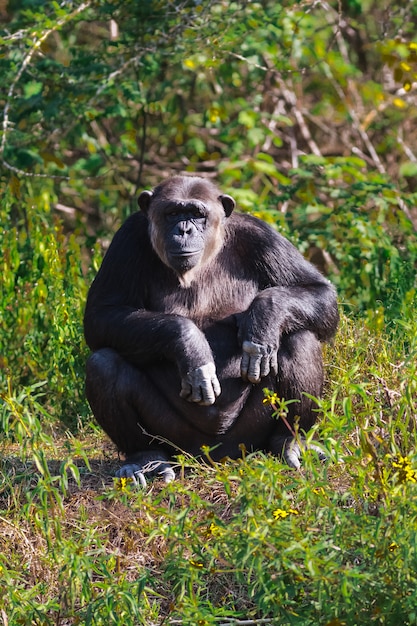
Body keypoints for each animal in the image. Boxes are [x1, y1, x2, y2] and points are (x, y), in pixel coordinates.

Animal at [84, 174, 338, 482]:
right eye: (172, 213)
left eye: (197, 213)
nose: (184, 229)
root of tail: (217, 457)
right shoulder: (126, 238)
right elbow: (101, 315)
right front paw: (191, 345)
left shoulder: (263, 237)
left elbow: (319, 291)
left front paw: (263, 320)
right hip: (178, 439)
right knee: (103, 363)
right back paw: (146, 458)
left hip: (250, 437)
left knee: (299, 338)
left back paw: (289, 442)